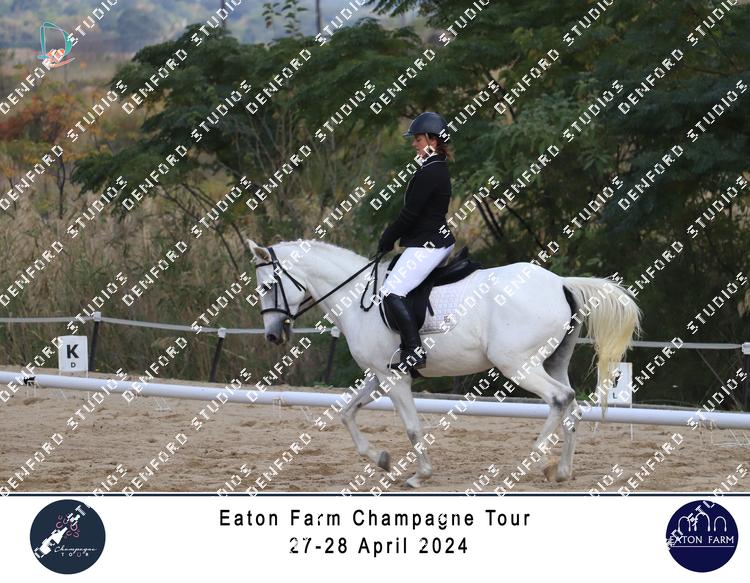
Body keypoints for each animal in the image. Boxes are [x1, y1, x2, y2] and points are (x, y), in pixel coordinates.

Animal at [246, 238, 642, 488]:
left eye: (267, 287)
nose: (273, 336)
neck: (358, 297)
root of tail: (561, 283)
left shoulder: (395, 379)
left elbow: (412, 427)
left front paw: (419, 475)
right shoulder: (379, 375)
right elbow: (346, 413)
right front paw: (381, 458)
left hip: (518, 365)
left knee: (560, 399)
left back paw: (531, 463)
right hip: (552, 361)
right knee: (572, 405)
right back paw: (560, 471)